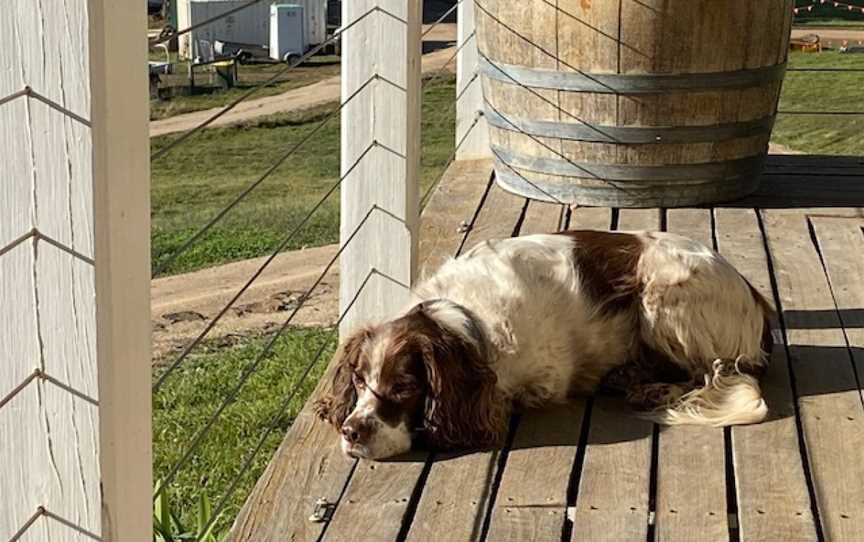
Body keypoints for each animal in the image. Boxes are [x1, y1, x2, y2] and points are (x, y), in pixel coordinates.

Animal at [314, 232, 772, 462]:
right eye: (358, 380)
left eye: (405, 388)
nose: (350, 431)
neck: (464, 318)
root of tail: (754, 296)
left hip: (663, 293)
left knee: (708, 370)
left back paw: (651, 387)